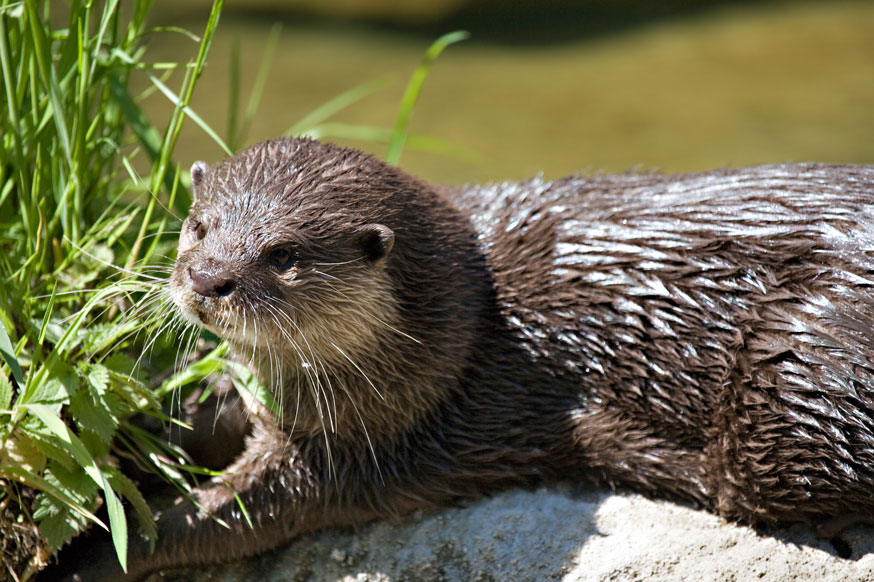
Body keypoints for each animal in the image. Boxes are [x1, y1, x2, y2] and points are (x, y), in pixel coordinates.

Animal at [56, 137, 874, 580]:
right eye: (199, 225)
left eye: (284, 256)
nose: (206, 278)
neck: (470, 323)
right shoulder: (257, 395)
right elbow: (181, 420)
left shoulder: (363, 448)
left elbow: (213, 518)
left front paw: (87, 558)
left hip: (797, 369)